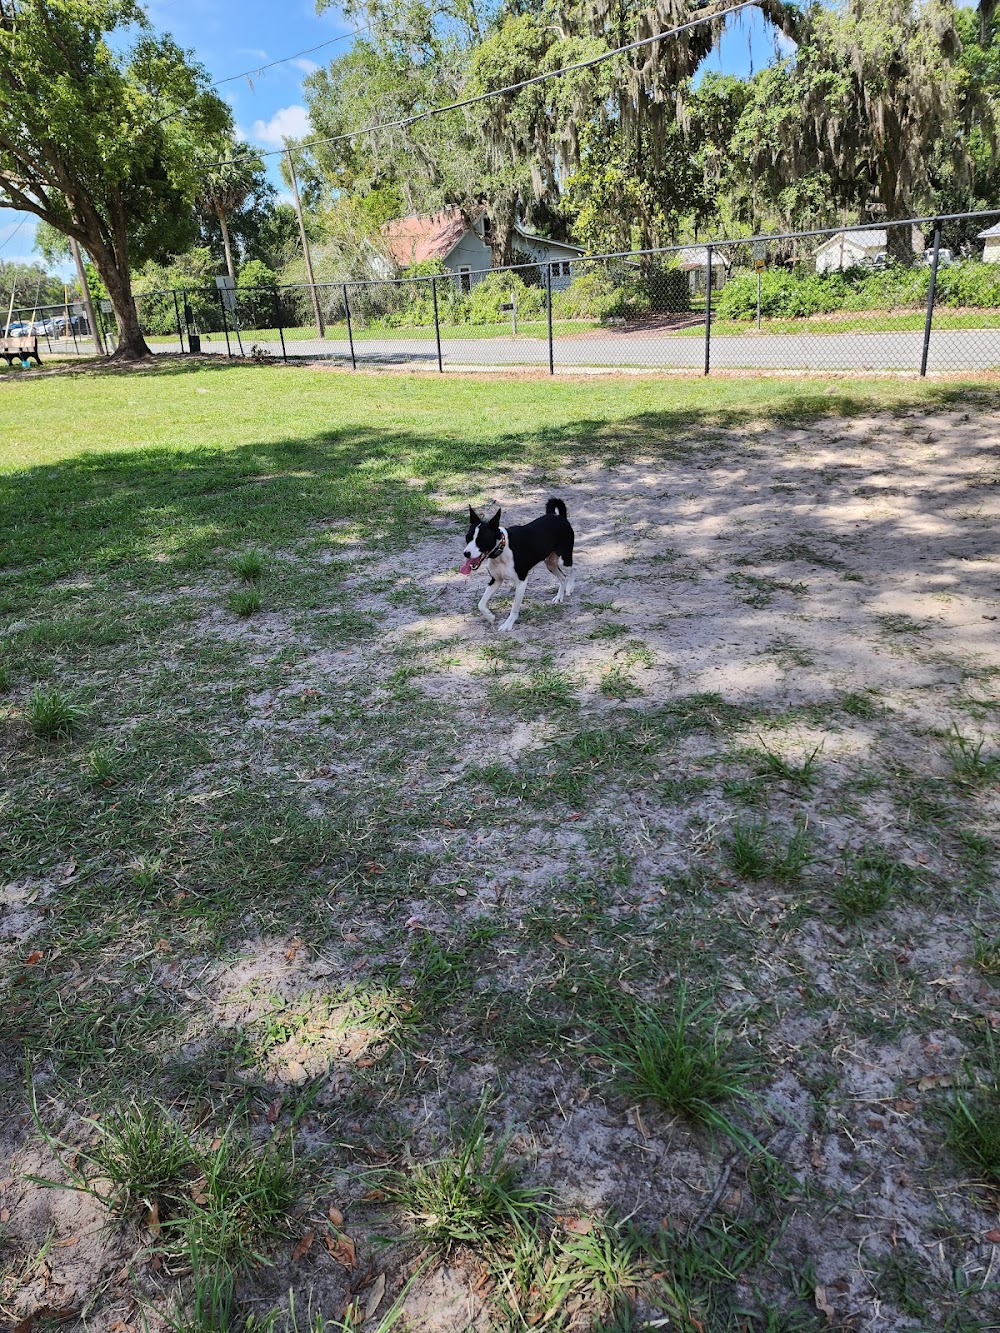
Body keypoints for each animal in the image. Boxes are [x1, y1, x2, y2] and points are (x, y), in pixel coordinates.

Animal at [461, 498, 576, 631]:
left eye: (481, 540)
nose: (466, 553)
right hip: (550, 563)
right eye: (467, 538)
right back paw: (559, 597)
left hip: (563, 560)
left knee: (573, 570)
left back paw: (570, 587)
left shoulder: (521, 582)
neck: (502, 549)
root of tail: (559, 517)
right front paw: (490, 616)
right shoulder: (496, 580)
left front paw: (508, 624)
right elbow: (481, 604)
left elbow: (514, 609)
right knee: (562, 577)